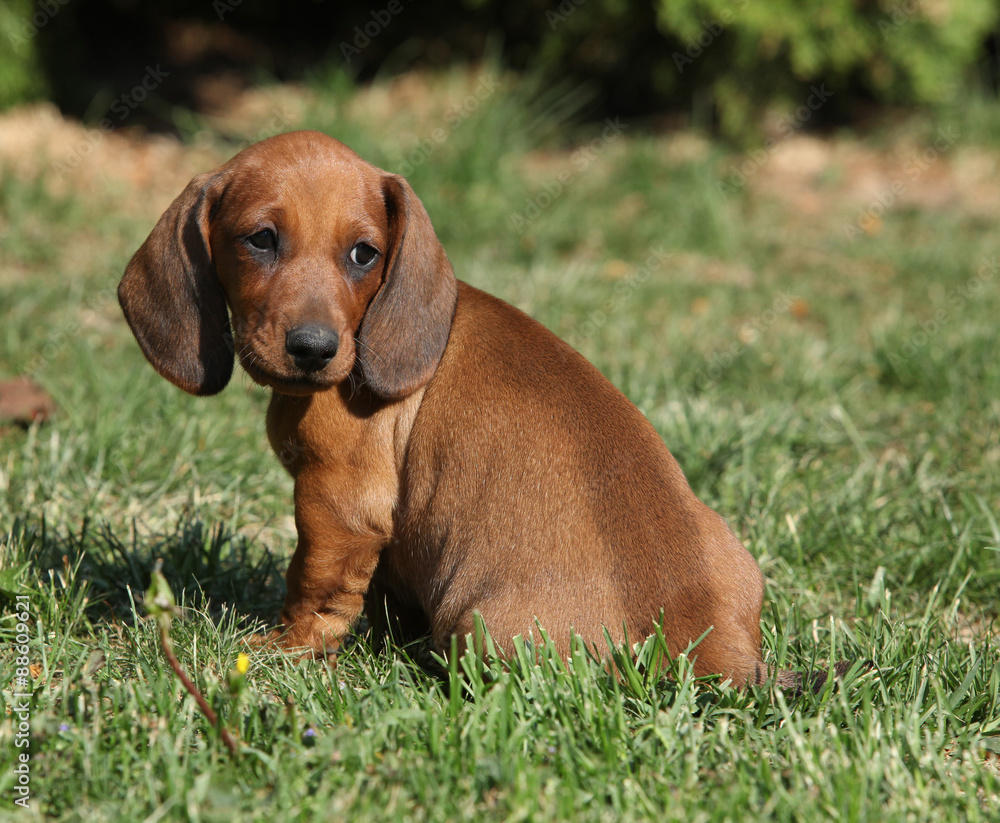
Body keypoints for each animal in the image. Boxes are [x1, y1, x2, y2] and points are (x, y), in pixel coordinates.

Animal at [119, 130, 804, 688]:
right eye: (260, 240)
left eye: (364, 253)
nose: (313, 350)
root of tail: (704, 643)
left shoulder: (338, 505)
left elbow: (313, 587)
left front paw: (286, 649)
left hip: (479, 628)